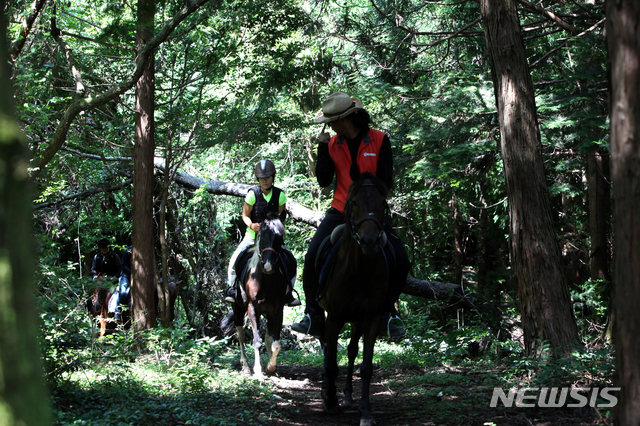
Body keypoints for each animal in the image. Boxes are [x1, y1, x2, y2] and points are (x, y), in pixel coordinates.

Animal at [220, 213, 290, 376]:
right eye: (262, 235)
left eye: (279, 237)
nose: (268, 265)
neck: (266, 280)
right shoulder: (252, 308)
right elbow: (256, 341)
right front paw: (258, 371)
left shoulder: (277, 311)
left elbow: (275, 343)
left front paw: (270, 367)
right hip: (238, 309)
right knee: (241, 335)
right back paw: (245, 366)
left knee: (267, 338)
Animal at [316, 172, 392, 426]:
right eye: (354, 203)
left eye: (382, 204)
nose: (370, 241)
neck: (359, 272)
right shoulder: (333, 318)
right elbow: (331, 363)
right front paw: (330, 401)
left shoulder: (373, 318)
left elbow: (366, 366)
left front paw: (366, 410)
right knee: (328, 348)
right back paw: (327, 390)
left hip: (357, 321)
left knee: (351, 350)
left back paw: (349, 395)